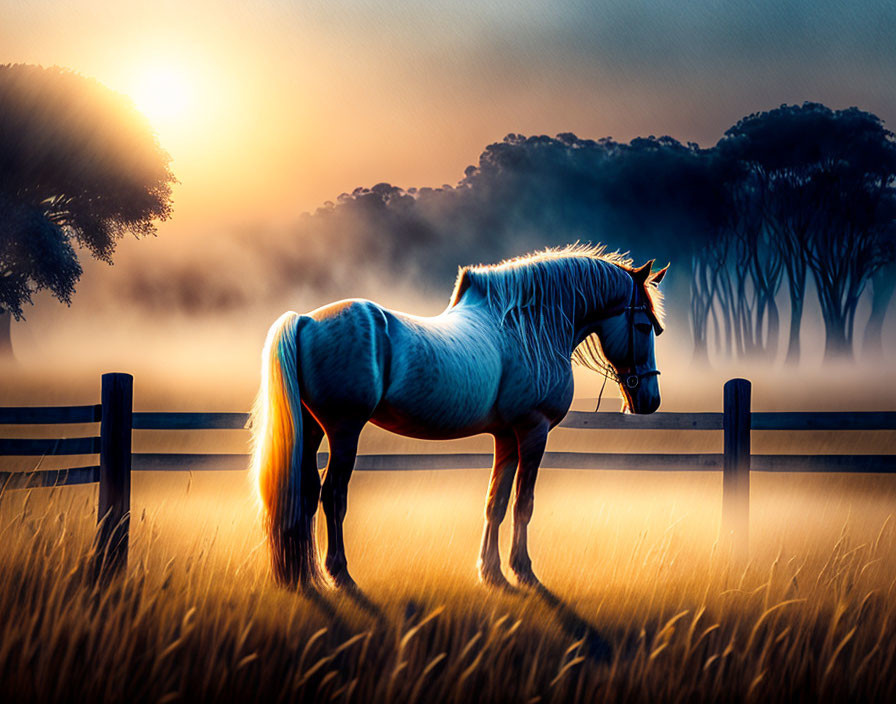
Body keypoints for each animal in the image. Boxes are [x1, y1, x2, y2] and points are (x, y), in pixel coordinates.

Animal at [250, 246, 664, 588]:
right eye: (645, 326)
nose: (649, 400)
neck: (527, 328)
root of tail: (305, 321)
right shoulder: (534, 430)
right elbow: (523, 503)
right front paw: (523, 570)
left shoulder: (506, 436)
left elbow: (496, 501)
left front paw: (491, 571)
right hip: (343, 431)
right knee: (333, 494)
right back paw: (339, 574)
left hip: (313, 430)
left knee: (304, 492)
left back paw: (303, 575)